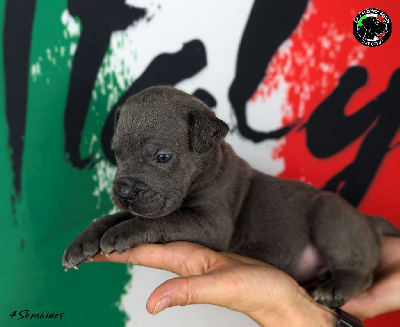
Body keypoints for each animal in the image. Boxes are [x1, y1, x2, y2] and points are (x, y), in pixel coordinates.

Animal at [61, 86, 396, 308]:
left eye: (163, 157)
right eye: (117, 154)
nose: (124, 191)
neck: (208, 167)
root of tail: (369, 222)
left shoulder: (211, 223)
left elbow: (162, 220)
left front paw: (123, 232)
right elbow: (115, 216)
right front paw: (83, 241)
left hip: (331, 215)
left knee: (360, 270)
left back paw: (335, 287)